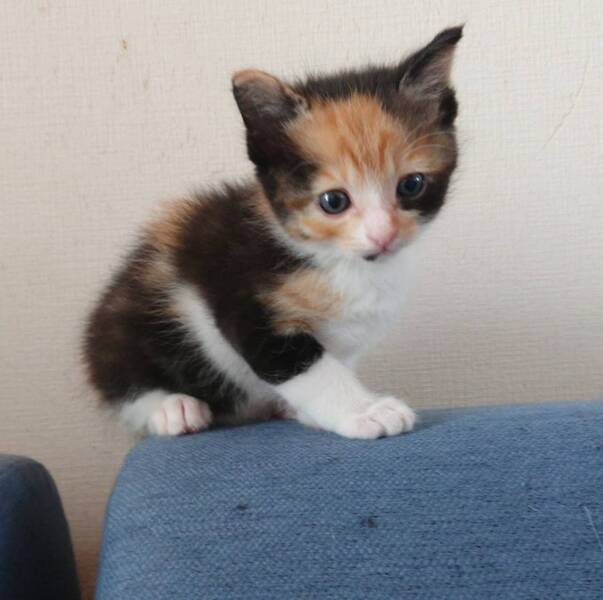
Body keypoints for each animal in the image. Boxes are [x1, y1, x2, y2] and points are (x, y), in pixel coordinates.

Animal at [84, 26, 462, 439]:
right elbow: (313, 372)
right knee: (121, 380)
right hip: (131, 321)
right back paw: (173, 408)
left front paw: (320, 411)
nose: (384, 235)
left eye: (411, 185)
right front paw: (366, 410)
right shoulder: (245, 303)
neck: (340, 263)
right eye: (333, 201)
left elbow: (338, 364)